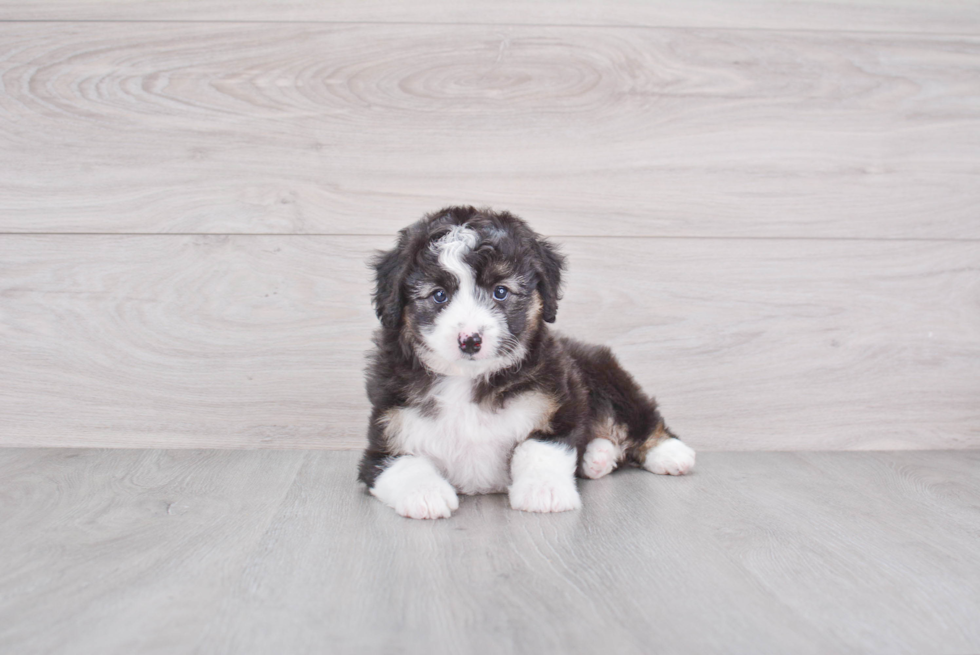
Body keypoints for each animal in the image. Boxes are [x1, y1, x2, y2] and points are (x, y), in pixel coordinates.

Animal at [360, 208, 696, 520]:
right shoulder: (383, 441)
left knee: (638, 416)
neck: (467, 379)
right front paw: (424, 493)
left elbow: (538, 447)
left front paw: (543, 490)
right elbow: (402, 463)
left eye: (500, 292)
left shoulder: (557, 407)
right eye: (439, 295)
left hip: (603, 374)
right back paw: (598, 457)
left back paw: (669, 453)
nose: (470, 340)